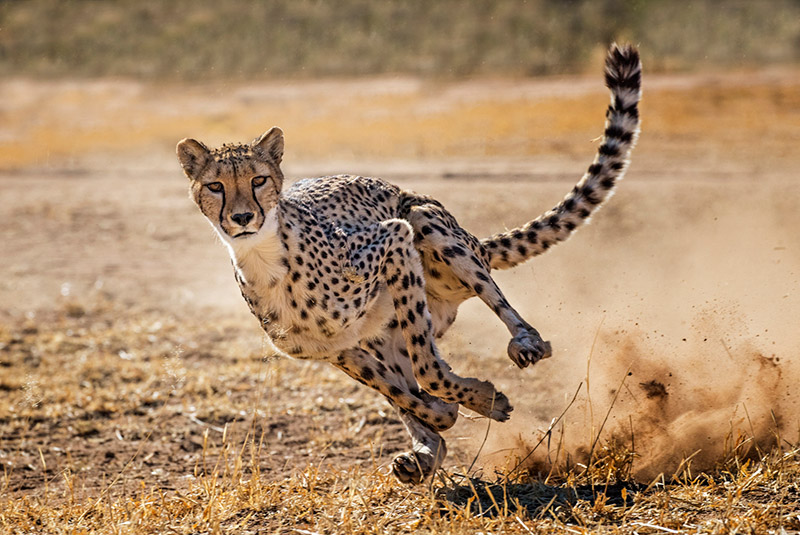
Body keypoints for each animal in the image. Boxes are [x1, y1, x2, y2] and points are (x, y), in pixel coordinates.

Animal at [177, 44, 644, 484]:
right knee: (403, 384)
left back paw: (526, 342)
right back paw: (423, 453)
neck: (265, 257)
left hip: (427, 224)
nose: (242, 217)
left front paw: (475, 397)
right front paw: (453, 411)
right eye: (215, 186)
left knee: (496, 306)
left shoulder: (394, 240)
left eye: (258, 180)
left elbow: (428, 369)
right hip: (379, 336)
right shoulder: (339, 348)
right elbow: (404, 394)